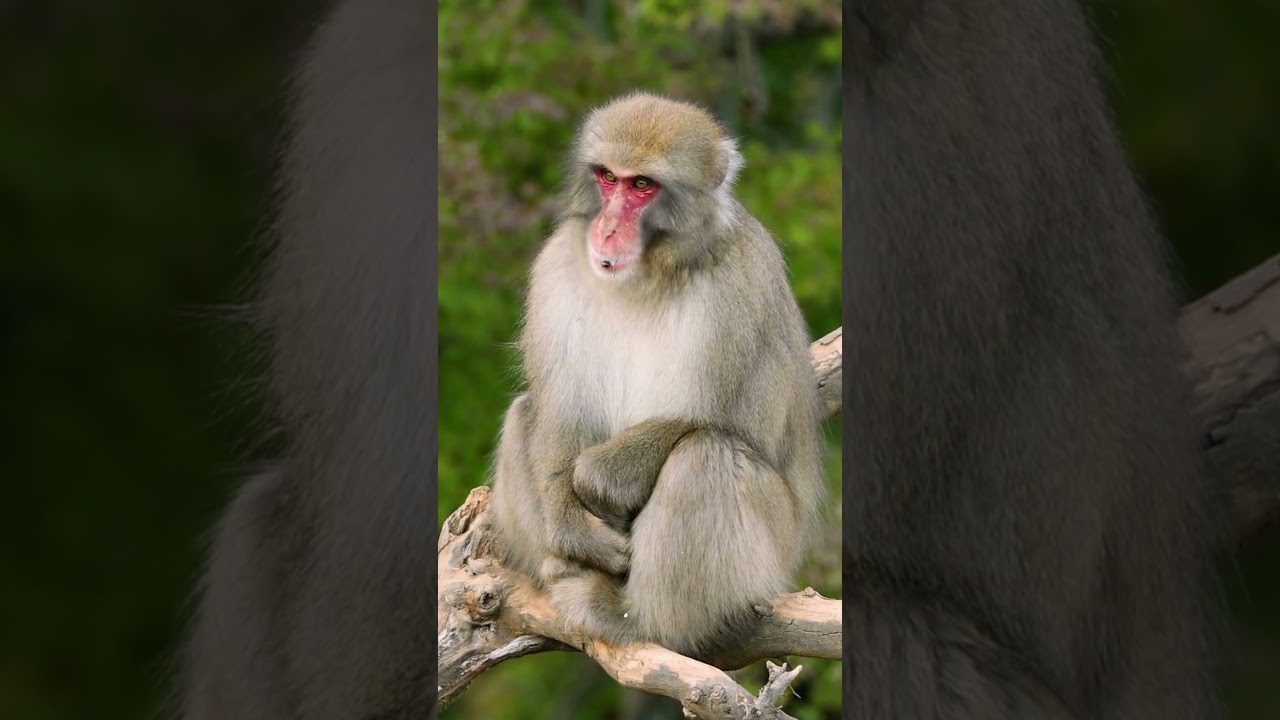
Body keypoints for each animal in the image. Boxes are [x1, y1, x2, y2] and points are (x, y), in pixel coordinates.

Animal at [486, 91, 828, 659]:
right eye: (608, 177)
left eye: (642, 185)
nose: (607, 229)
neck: (646, 274)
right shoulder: (556, 267)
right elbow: (561, 406)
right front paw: (572, 522)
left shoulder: (741, 283)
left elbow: (722, 420)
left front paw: (602, 475)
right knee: (523, 412)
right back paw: (562, 566)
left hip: (770, 553)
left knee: (704, 456)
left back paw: (636, 620)